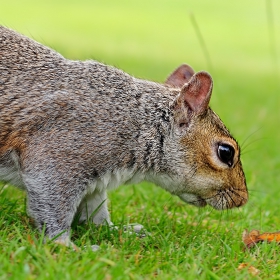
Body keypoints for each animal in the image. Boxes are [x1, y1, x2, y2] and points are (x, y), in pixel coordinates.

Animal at [0, 25, 248, 245]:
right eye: (226, 152)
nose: (242, 199)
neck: (138, 123)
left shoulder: (95, 183)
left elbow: (95, 212)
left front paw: (118, 230)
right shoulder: (59, 153)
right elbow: (52, 202)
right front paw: (64, 243)